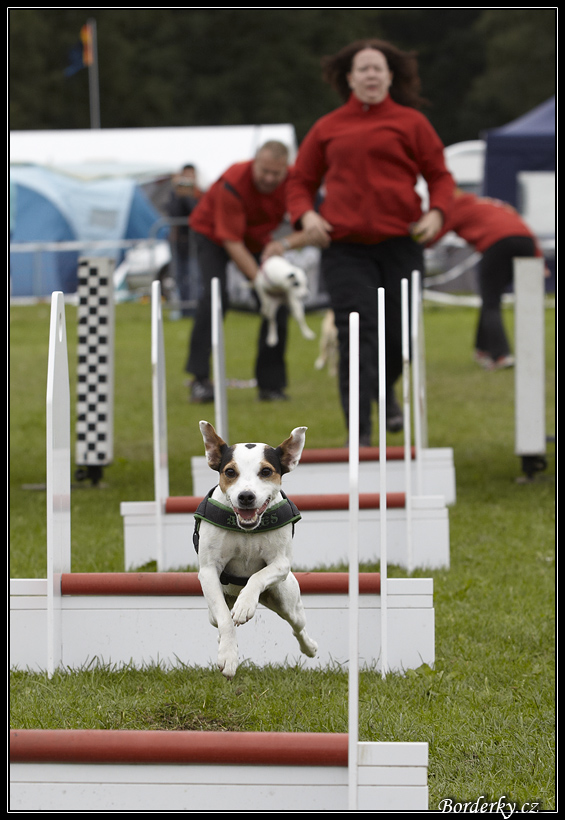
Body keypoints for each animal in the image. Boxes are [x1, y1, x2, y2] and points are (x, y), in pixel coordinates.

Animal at [194, 420, 318, 679]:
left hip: (287, 599)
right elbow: (225, 619)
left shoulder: (281, 563)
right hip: (213, 607)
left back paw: (310, 647)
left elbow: (258, 576)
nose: (246, 496)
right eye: (230, 472)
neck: (247, 530)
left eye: (266, 472)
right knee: (218, 617)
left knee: (297, 626)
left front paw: (244, 604)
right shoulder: (209, 571)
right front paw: (228, 656)